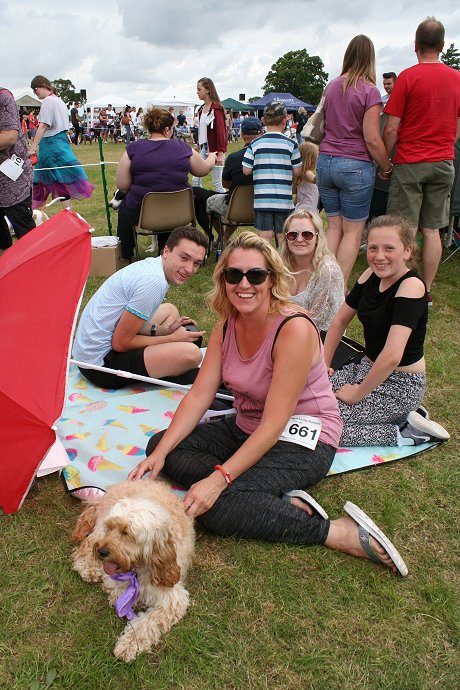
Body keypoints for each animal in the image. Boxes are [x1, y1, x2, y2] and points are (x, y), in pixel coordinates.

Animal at [71, 478, 194, 660]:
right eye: (111, 528)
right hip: (100, 528)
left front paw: (128, 645)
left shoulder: (172, 598)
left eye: (126, 532)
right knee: (88, 543)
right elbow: (119, 591)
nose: (102, 552)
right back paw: (88, 567)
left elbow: (149, 621)